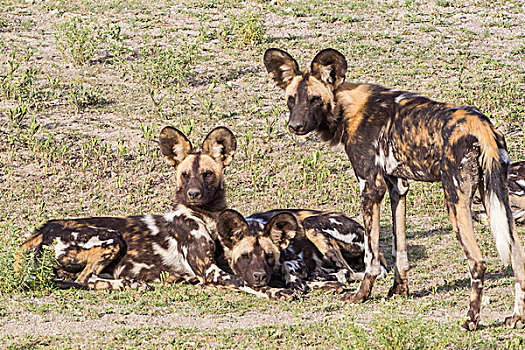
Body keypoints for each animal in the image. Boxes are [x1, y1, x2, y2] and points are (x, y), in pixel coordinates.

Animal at [18, 126, 290, 298]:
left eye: (207, 174)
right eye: (185, 175)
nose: (193, 194)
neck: (206, 217)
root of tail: (41, 231)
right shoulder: (210, 272)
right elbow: (244, 282)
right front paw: (275, 291)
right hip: (111, 238)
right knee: (85, 279)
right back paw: (127, 284)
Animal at [215, 208, 386, 292]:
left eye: (269, 256)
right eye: (245, 256)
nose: (260, 276)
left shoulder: (297, 261)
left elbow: (287, 266)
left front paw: (294, 281)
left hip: (311, 224)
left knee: (346, 271)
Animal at [264, 47, 524, 330]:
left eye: (314, 99)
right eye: (291, 99)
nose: (295, 126)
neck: (348, 108)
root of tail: (481, 124)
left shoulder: (370, 188)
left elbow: (372, 257)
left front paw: (361, 295)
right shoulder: (397, 186)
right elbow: (400, 248)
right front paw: (399, 290)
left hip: (456, 201)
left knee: (477, 262)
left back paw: (470, 320)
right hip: (496, 197)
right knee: (517, 254)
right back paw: (516, 318)